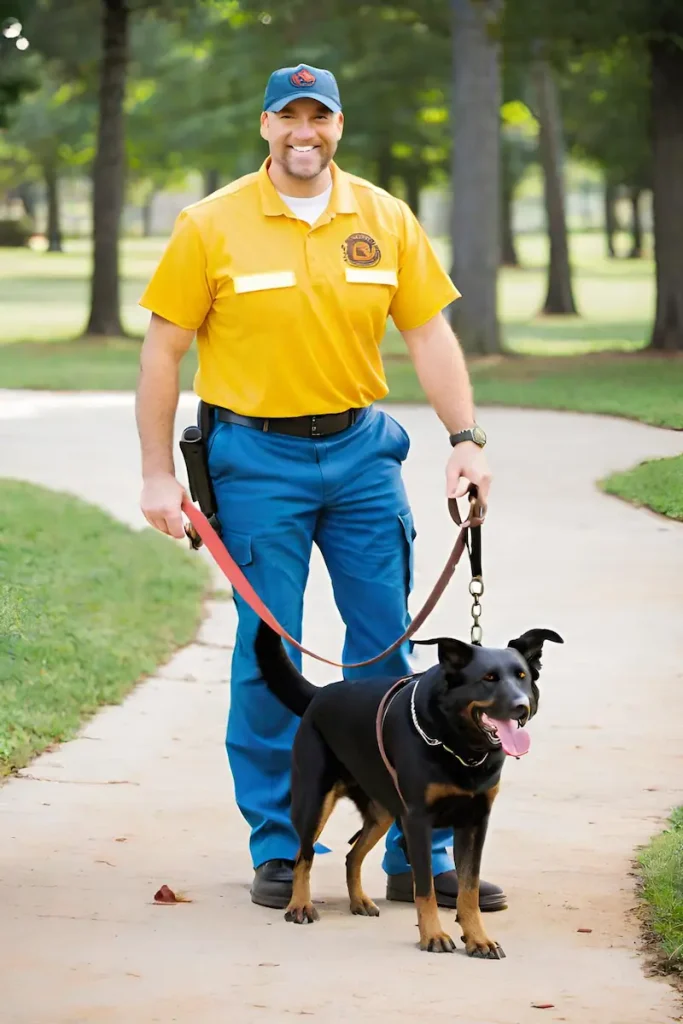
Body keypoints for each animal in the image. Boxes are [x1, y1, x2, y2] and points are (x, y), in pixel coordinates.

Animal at [253, 614, 565, 958]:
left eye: (522, 677)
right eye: (489, 678)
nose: (521, 707)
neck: (460, 746)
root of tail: (320, 695)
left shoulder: (474, 822)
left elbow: (468, 889)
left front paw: (478, 938)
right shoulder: (417, 820)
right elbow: (425, 887)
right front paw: (434, 936)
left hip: (384, 812)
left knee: (352, 855)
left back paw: (358, 900)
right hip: (314, 801)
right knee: (303, 856)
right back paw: (299, 905)